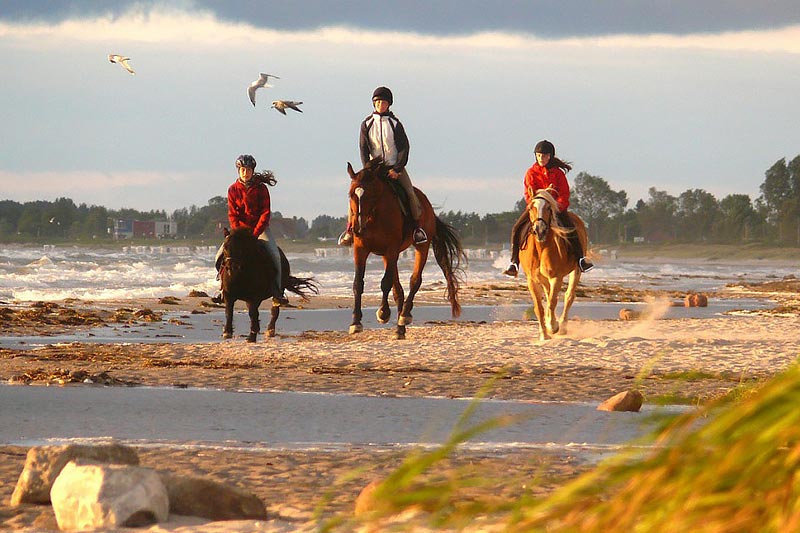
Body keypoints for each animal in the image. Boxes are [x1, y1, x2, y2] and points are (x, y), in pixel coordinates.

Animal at [346, 159, 468, 340]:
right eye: (351, 195)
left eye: (372, 195)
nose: (358, 228)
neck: (374, 217)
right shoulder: (361, 250)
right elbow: (358, 284)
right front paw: (355, 323)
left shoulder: (391, 249)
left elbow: (385, 283)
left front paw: (383, 313)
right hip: (388, 256)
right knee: (398, 290)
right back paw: (399, 329)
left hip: (421, 247)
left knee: (414, 281)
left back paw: (404, 316)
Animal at [516, 187, 592, 336]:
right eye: (531, 207)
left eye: (548, 208)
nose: (539, 230)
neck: (541, 247)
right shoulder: (532, 279)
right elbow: (539, 307)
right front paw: (544, 334)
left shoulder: (556, 277)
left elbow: (552, 302)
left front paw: (553, 326)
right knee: (548, 294)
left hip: (576, 271)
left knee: (568, 296)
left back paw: (562, 326)